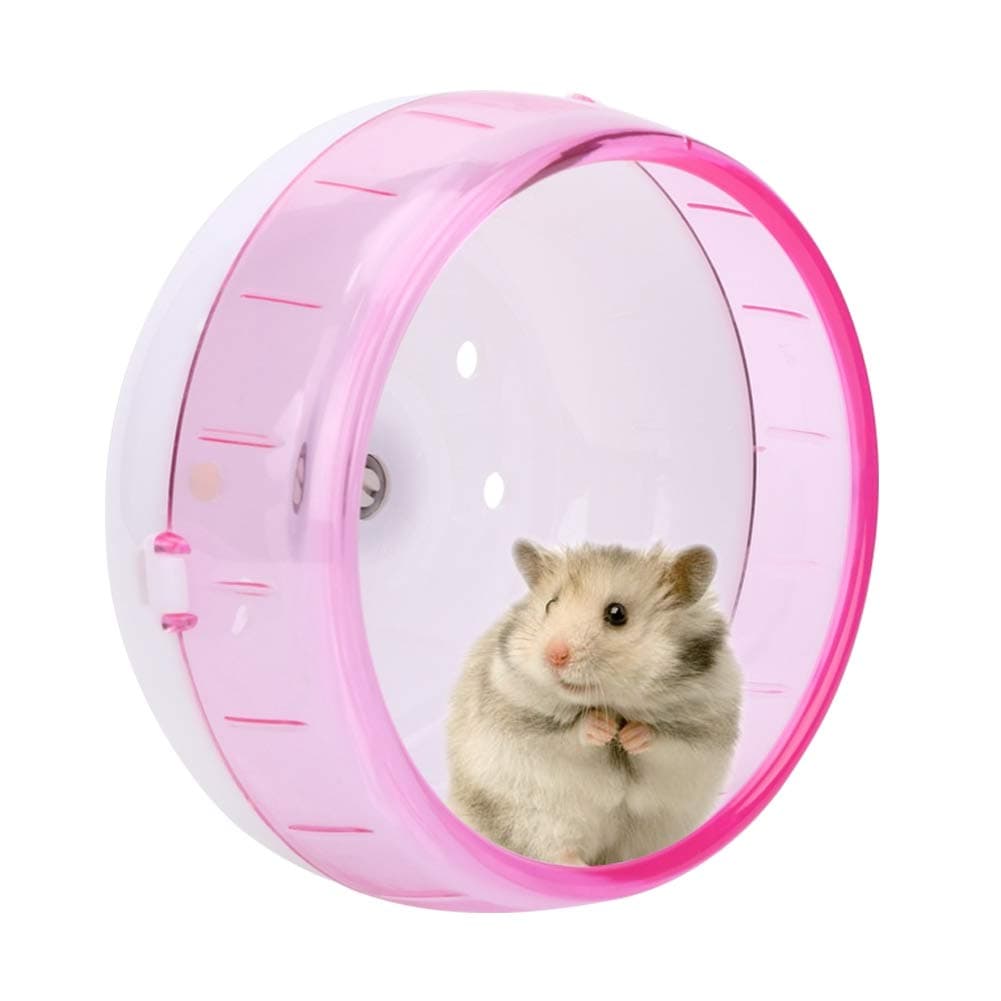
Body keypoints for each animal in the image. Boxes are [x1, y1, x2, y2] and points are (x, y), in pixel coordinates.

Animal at [447, 539, 741, 865]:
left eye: (616, 613)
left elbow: (663, 740)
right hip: (538, 818)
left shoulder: (701, 731)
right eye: (550, 604)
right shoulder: (523, 718)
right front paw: (604, 728)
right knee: (557, 851)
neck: (613, 702)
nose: (554, 655)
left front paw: (629, 735)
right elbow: (570, 734)